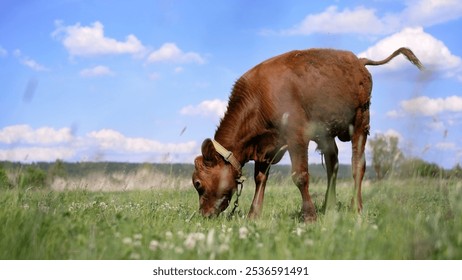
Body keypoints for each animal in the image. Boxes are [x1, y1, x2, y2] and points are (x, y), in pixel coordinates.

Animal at [190, 47, 422, 222]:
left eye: (198, 184)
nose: (204, 215)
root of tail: (359, 60)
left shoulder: (296, 136)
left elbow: (300, 176)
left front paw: (309, 216)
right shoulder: (266, 146)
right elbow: (260, 178)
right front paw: (253, 215)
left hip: (360, 123)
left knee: (358, 165)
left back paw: (356, 208)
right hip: (326, 133)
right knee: (333, 164)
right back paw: (329, 206)